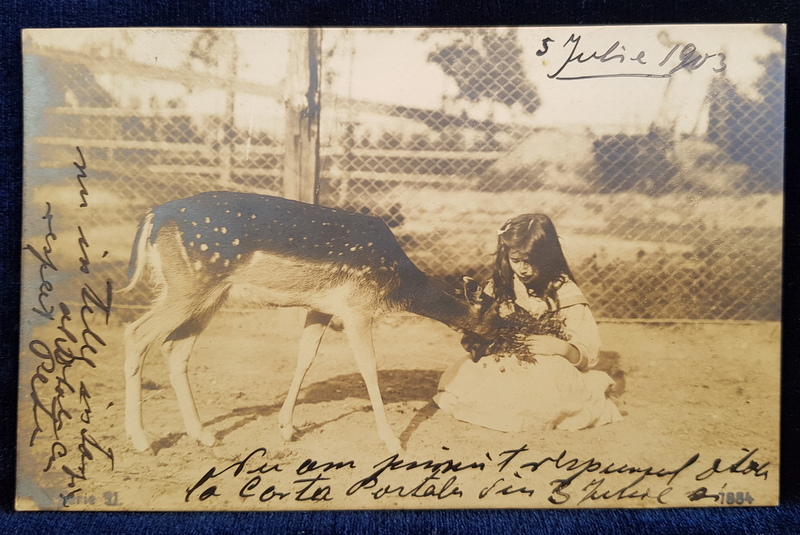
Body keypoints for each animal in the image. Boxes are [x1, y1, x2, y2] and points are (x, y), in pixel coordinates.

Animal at [121, 192, 496, 452]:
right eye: (499, 315)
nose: (492, 348)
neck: (397, 284)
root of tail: (153, 217)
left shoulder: (322, 307)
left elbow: (305, 358)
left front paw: (287, 428)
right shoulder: (357, 306)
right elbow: (369, 367)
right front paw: (392, 441)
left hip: (208, 295)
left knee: (175, 347)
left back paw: (203, 435)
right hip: (189, 285)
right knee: (136, 333)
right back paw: (142, 440)